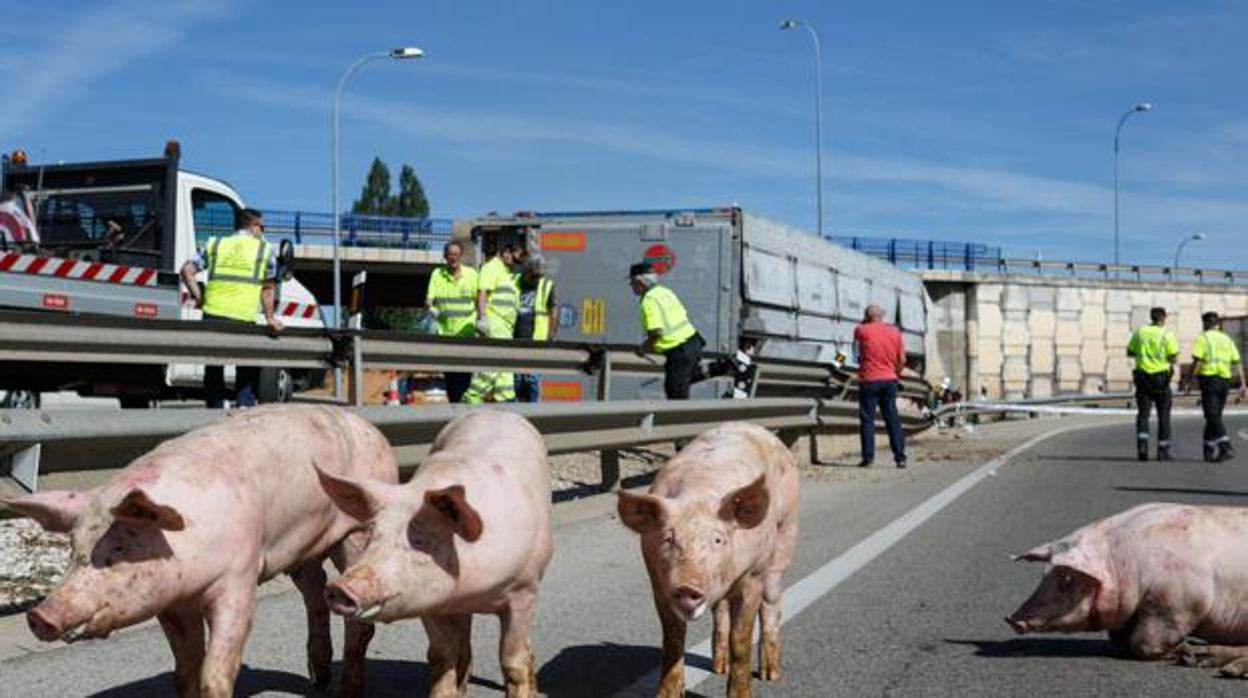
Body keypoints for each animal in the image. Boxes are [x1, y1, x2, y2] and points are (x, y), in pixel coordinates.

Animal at [0, 404, 396, 698]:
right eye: (73, 548)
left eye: (120, 546)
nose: (41, 615)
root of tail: (368, 426)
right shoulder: (171, 603)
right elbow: (184, 671)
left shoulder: (241, 576)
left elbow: (215, 670)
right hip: (300, 548)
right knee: (316, 589)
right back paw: (317, 677)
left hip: (358, 530)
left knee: (356, 614)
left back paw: (344, 690)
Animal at [316, 409, 551, 698]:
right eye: (371, 535)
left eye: (420, 541)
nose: (339, 587)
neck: (469, 590)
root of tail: (496, 411)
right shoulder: (429, 602)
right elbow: (441, 656)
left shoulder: (523, 591)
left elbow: (513, 661)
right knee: (464, 647)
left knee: (524, 651)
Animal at [619, 419, 803, 698]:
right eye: (668, 539)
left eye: (718, 540)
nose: (687, 586)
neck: (700, 493)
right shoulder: (658, 584)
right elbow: (672, 640)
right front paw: (667, 695)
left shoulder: (753, 576)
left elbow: (741, 639)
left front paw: (742, 694)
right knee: (721, 609)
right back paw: (719, 667)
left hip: (785, 535)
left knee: (772, 602)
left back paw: (771, 675)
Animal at [1003, 501, 1248, 679]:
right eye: (1044, 575)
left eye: (1066, 579)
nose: (1011, 619)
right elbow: (1119, 639)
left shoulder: (1178, 603)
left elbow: (1144, 641)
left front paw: (1180, 651)